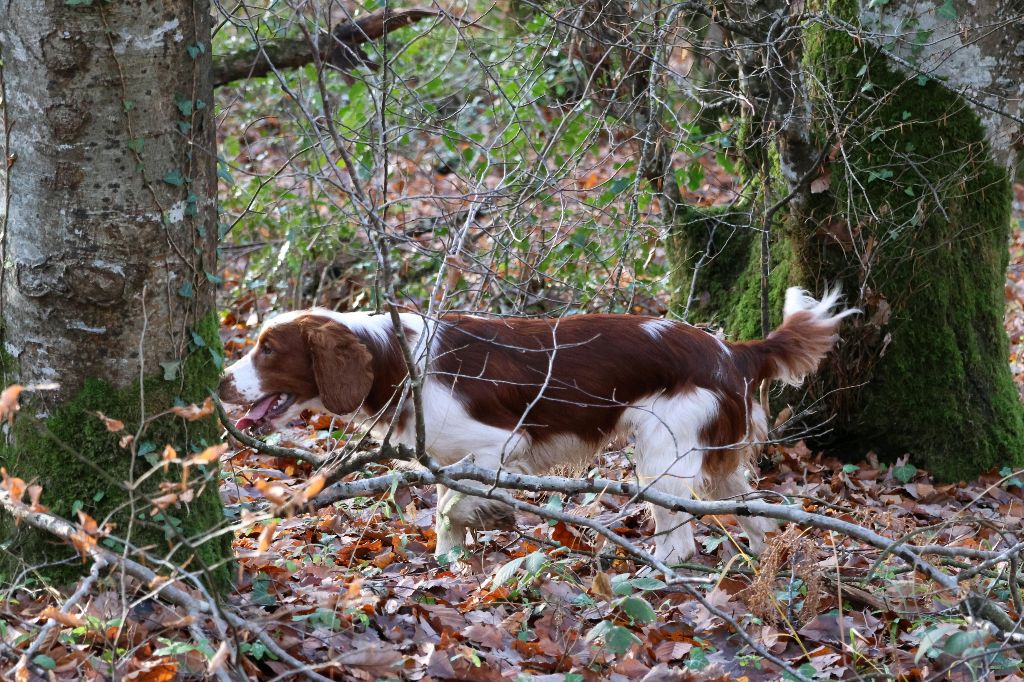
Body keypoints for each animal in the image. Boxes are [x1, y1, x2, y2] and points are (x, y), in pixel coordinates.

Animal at [220, 286, 851, 557]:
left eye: (268, 349)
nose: (220, 382)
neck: (397, 357)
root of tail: (732, 349)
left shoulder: (498, 445)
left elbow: (450, 506)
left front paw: (487, 520)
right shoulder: (450, 458)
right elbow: (446, 514)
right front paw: (450, 561)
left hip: (662, 458)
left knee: (679, 538)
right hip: (715, 459)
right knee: (753, 510)